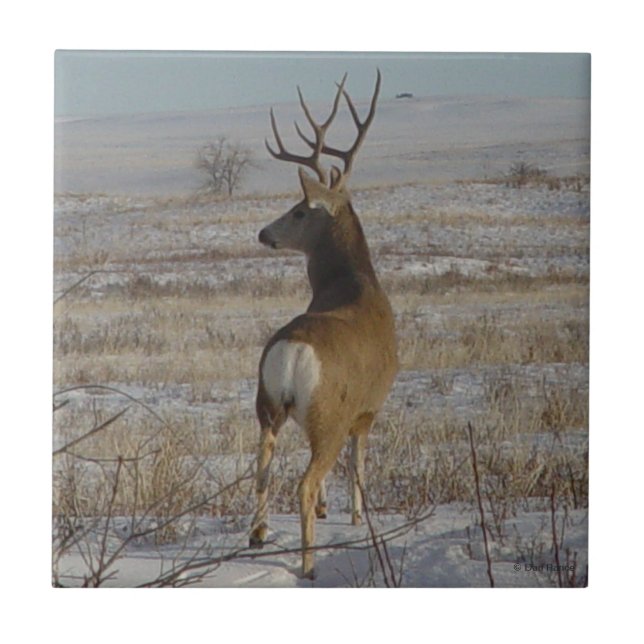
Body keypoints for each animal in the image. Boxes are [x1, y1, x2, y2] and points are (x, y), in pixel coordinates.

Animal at [249, 70, 398, 579]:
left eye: (298, 210)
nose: (263, 233)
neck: (353, 284)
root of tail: (293, 352)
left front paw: (330, 510)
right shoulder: (367, 409)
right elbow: (358, 462)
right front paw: (354, 514)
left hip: (266, 403)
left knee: (262, 466)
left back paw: (258, 535)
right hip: (327, 414)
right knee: (305, 480)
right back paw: (308, 564)